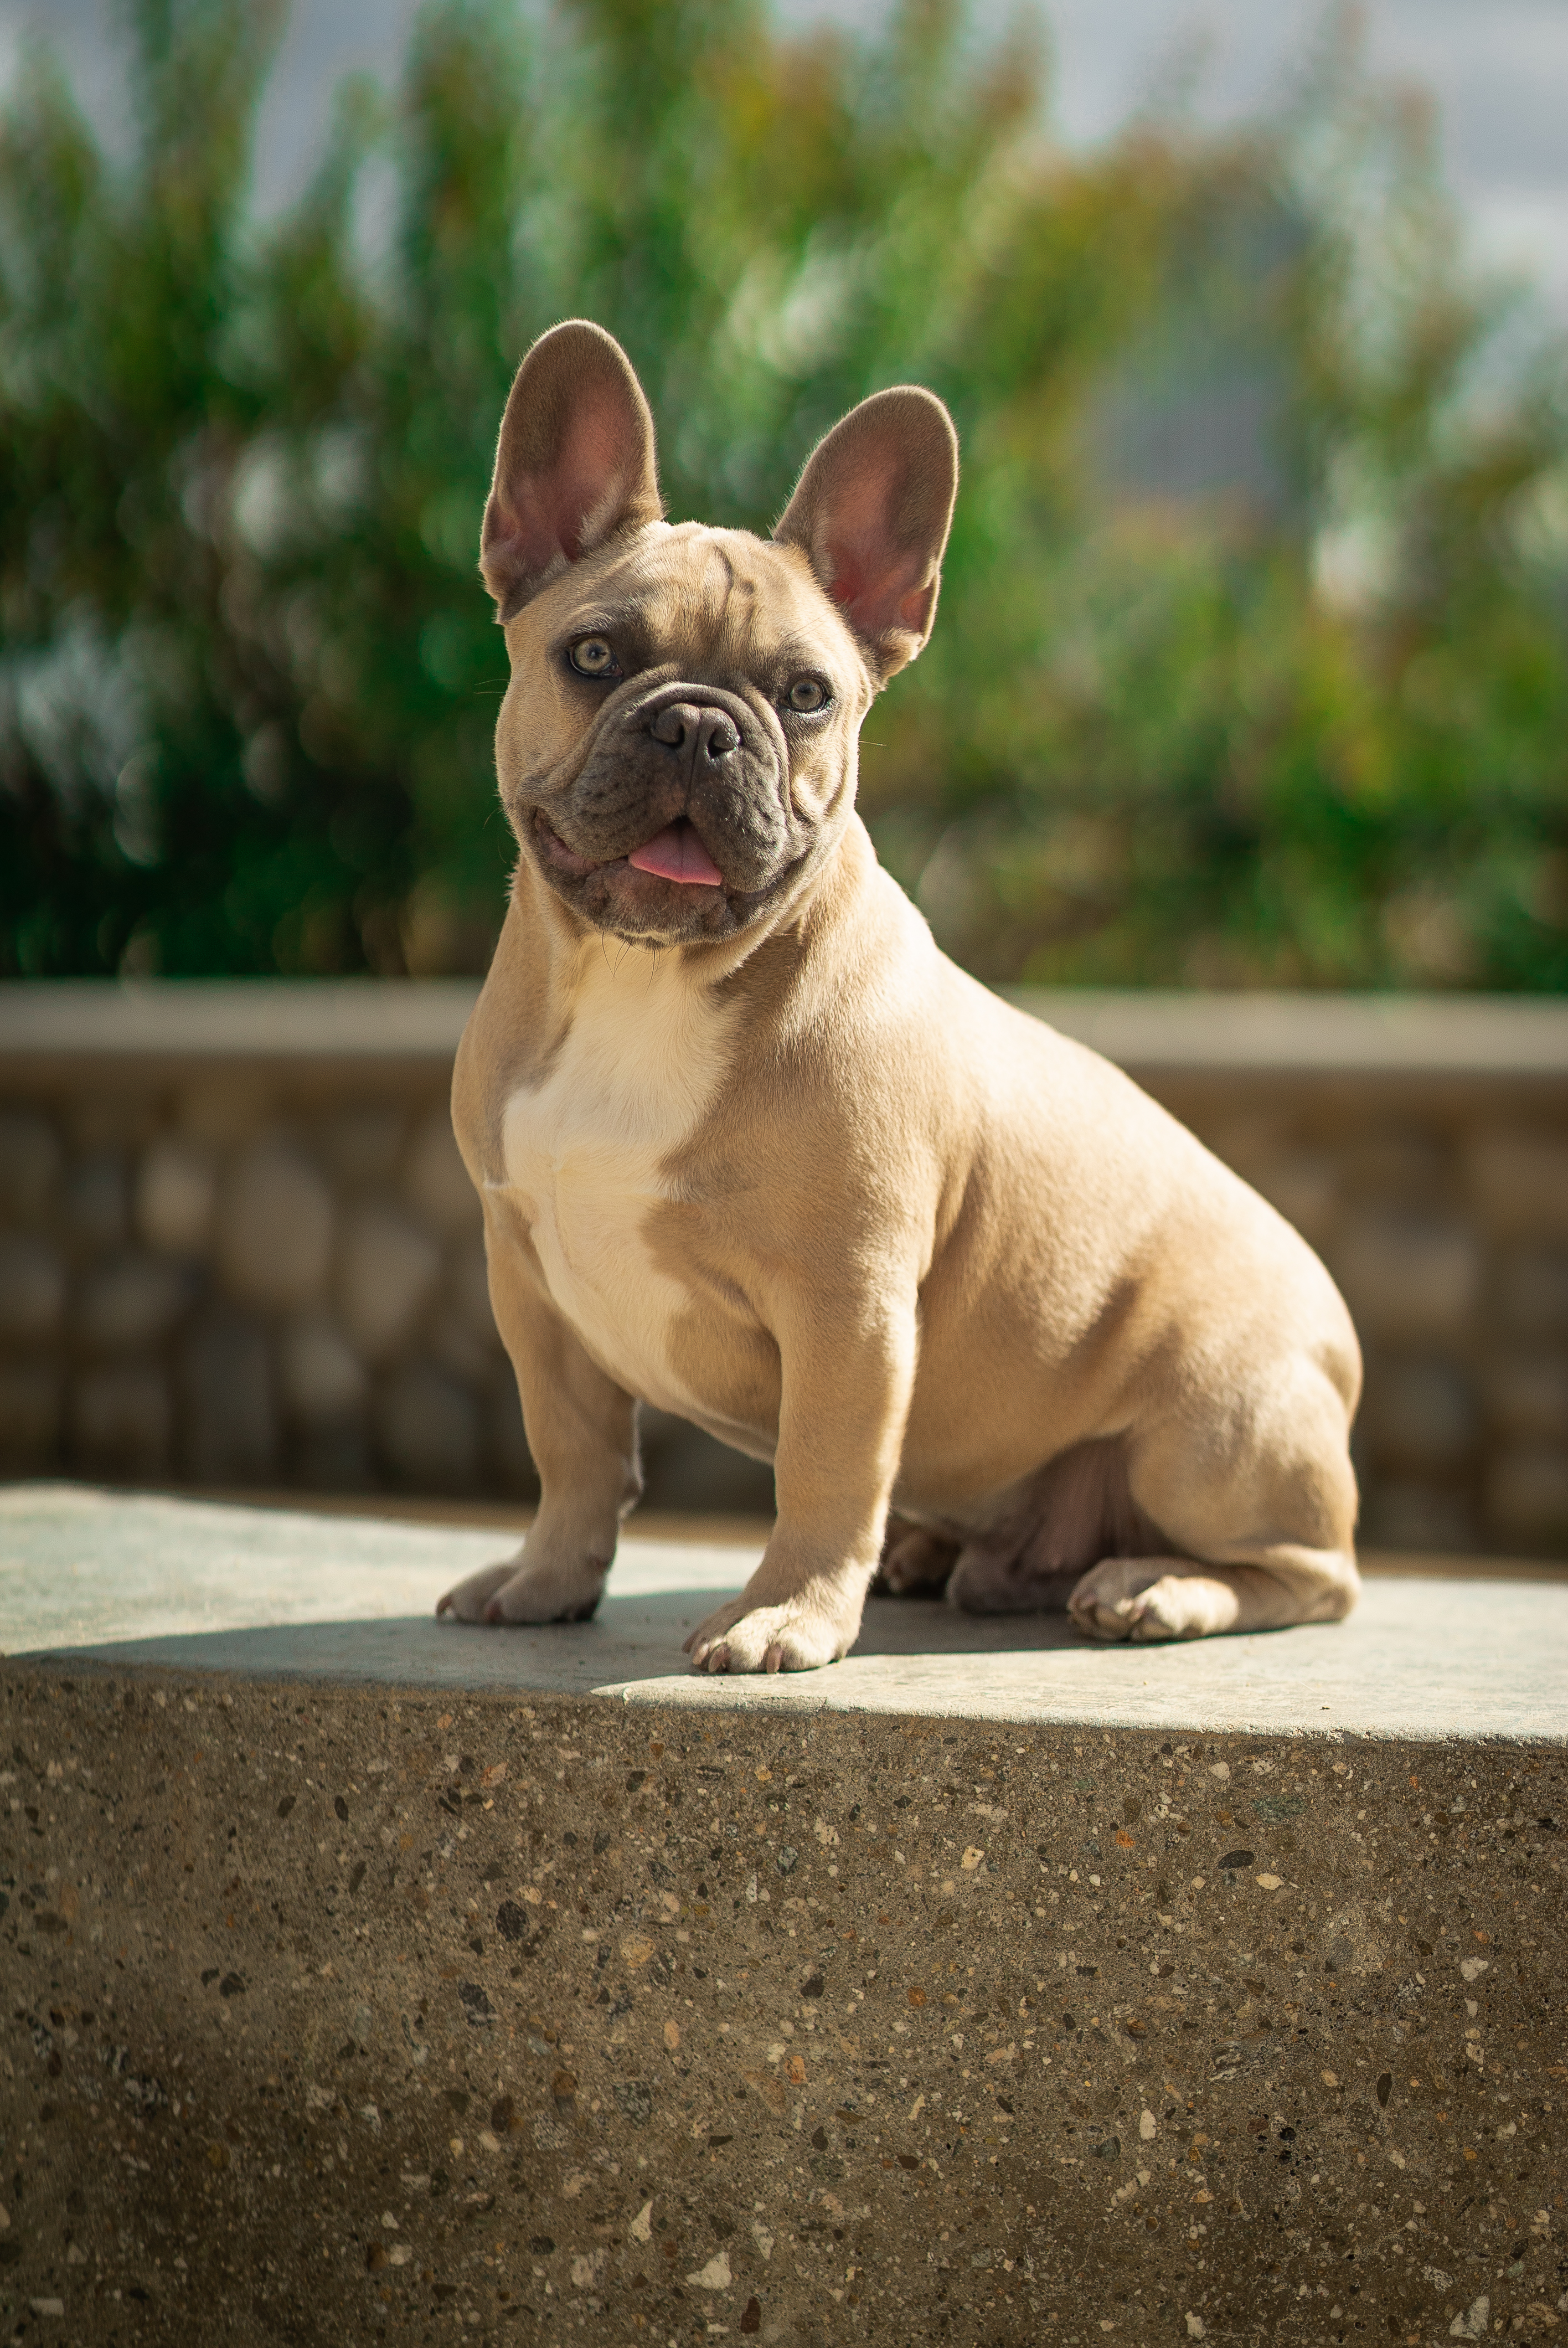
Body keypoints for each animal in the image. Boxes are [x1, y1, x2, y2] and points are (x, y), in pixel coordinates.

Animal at [434, 321, 1361, 1671]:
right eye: (595, 656)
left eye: (806, 695)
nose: (700, 728)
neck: (647, 980)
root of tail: (1340, 1348)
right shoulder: (531, 1280)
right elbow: (573, 1451)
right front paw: (547, 1578)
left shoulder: (849, 1307)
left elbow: (825, 1472)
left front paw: (785, 1613)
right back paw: (958, 1560)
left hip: (1213, 1437)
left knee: (1314, 1574)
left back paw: (1160, 1588)